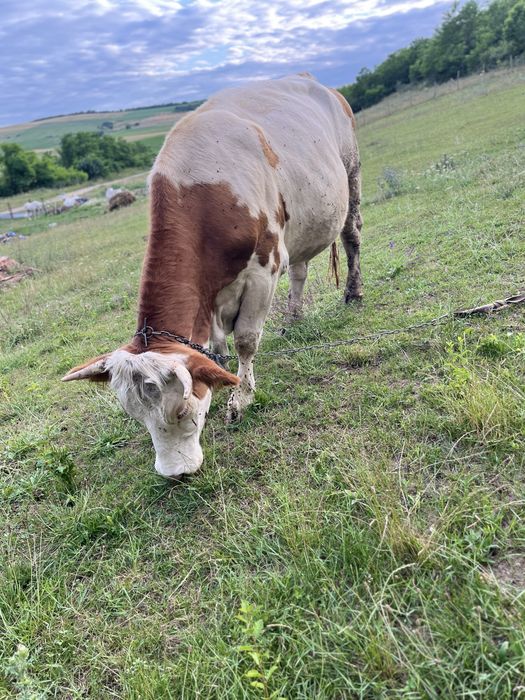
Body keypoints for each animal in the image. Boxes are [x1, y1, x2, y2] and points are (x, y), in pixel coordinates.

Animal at [62, 74, 363, 479]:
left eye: (181, 410)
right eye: (135, 415)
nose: (175, 474)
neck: (203, 189)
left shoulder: (263, 270)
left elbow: (246, 342)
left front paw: (241, 398)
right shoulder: (212, 296)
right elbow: (217, 352)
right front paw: (220, 382)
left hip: (351, 174)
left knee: (351, 238)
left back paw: (354, 293)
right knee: (300, 269)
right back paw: (294, 317)